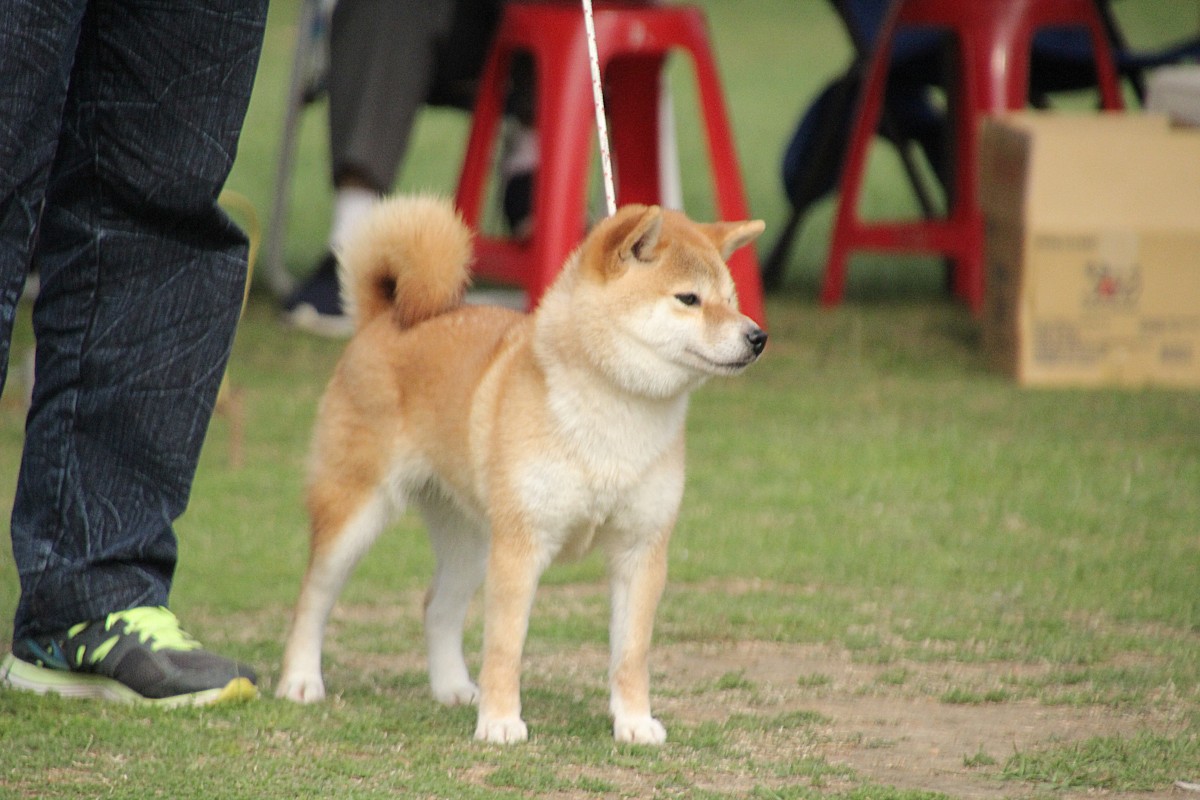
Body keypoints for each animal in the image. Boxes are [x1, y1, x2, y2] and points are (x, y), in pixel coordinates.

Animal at [276, 195, 763, 743]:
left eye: (732, 298)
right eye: (689, 299)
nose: (757, 336)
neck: (613, 418)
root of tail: (384, 320)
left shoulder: (641, 551)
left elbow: (631, 654)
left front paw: (634, 723)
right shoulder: (521, 547)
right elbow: (506, 647)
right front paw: (501, 722)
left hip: (471, 540)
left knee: (437, 607)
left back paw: (452, 687)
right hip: (357, 513)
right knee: (313, 598)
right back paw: (300, 680)